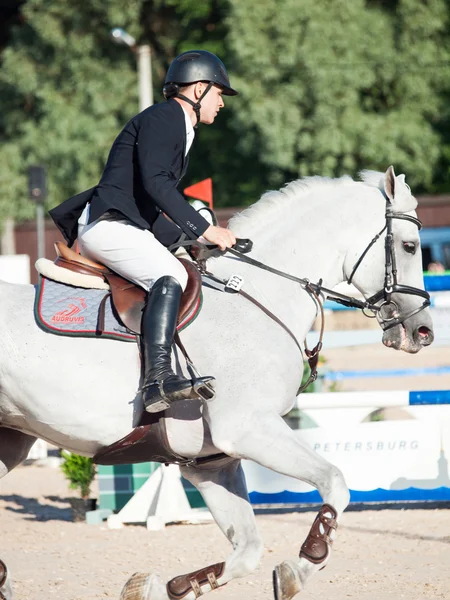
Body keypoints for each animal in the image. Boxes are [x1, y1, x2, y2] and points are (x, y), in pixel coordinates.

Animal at [0, 165, 436, 600]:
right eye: (411, 246)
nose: (423, 332)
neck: (257, 296)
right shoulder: (247, 429)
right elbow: (336, 482)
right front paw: (306, 559)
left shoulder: (211, 462)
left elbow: (247, 551)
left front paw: (167, 586)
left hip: (14, 439)